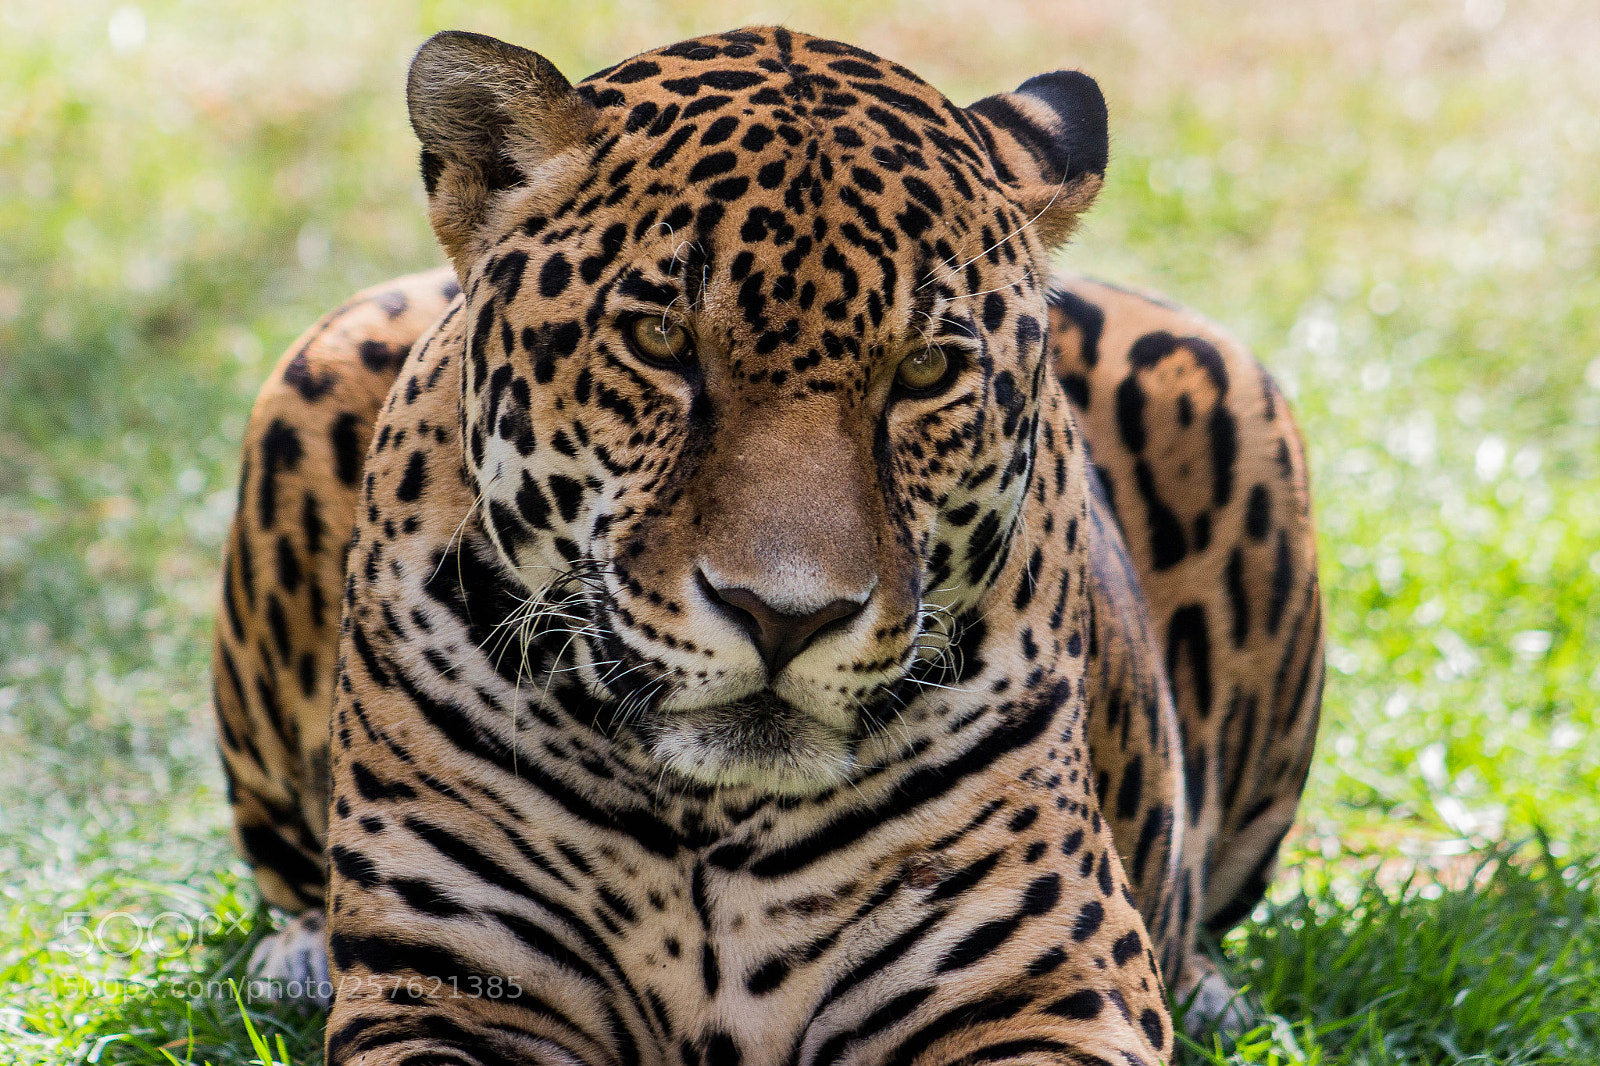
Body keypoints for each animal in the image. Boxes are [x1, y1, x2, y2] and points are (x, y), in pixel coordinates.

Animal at [213, 26, 1323, 1066]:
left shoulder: (1056, 989)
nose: (786, 617)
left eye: (925, 372)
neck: (713, 824)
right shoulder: (443, 986)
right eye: (660, 341)